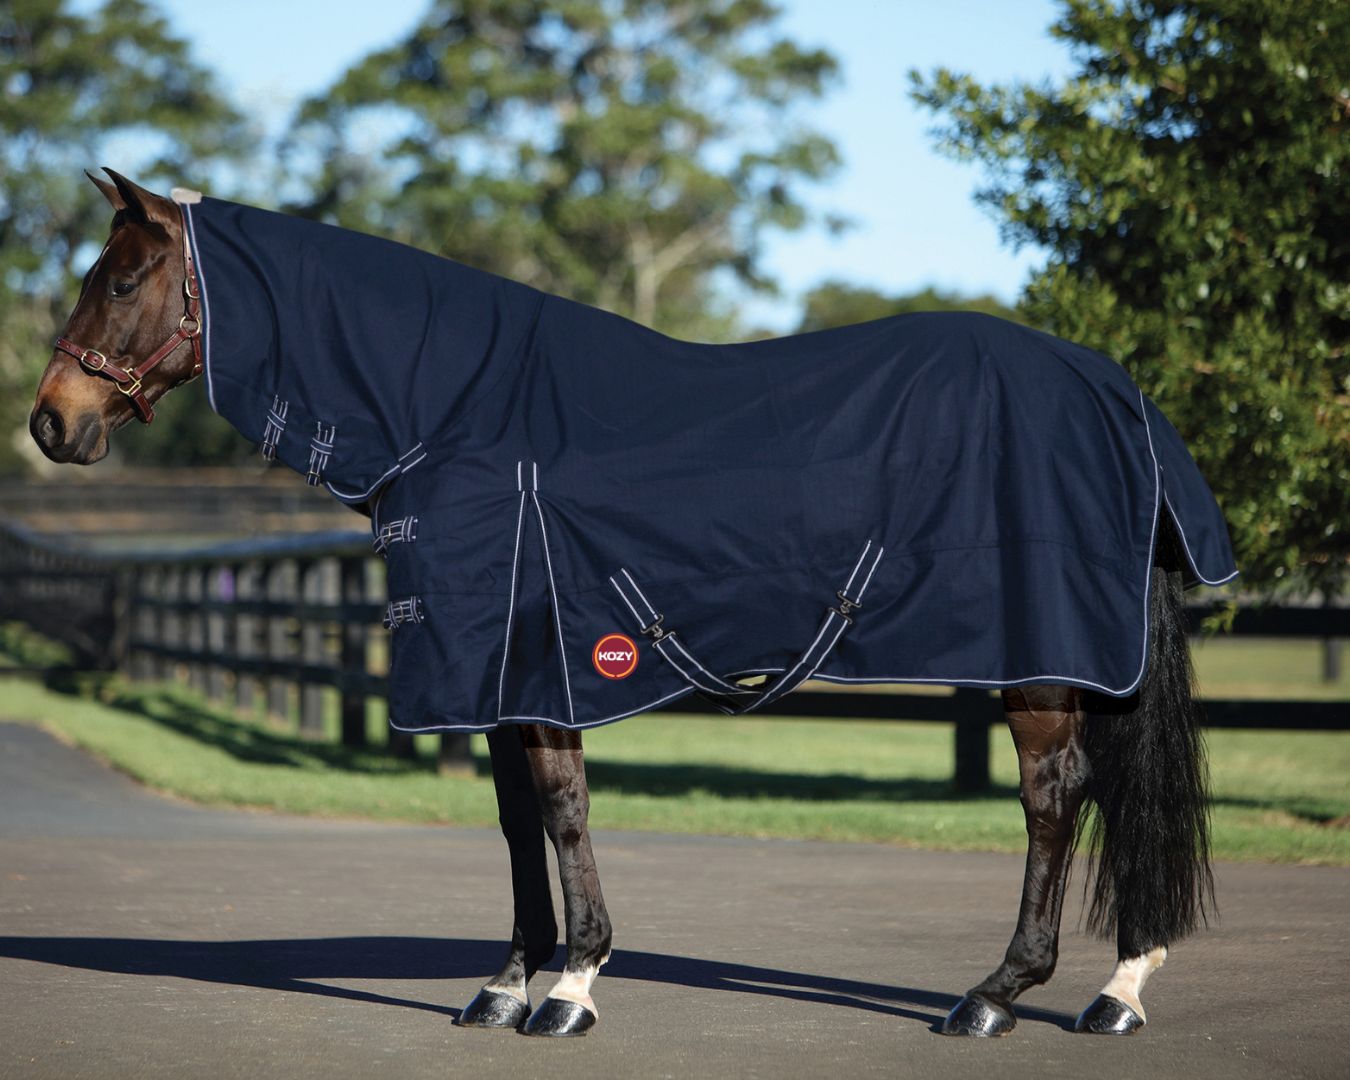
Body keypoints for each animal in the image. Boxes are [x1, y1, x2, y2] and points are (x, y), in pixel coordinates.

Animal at [30, 169, 1235, 1039]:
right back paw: (1118, 988)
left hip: (1041, 660)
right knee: (1112, 793)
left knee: (1055, 797)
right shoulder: (499, 675)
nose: (51, 421)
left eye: (122, 283)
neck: (459, 412)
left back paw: (997, 995)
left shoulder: (541, 663)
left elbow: (564, 811)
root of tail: (1110, 388)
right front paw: (506, 984)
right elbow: (515, 821)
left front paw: (572, 988)